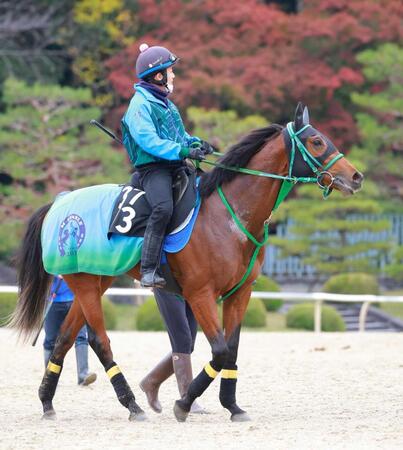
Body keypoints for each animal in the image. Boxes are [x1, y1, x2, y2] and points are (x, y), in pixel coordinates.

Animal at [9, 104, 364, 422]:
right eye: (317, 141)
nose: (356, 177)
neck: (229, 217)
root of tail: (58, 203)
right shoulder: (200, 294)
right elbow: (220, 350)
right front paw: (184, 403)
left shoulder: (240, 293)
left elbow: (231, 349)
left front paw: (232, 406)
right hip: (83, 281)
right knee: (99, 340)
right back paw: (132, 405)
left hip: (96, 280)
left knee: (64, 339)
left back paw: (47, 402)